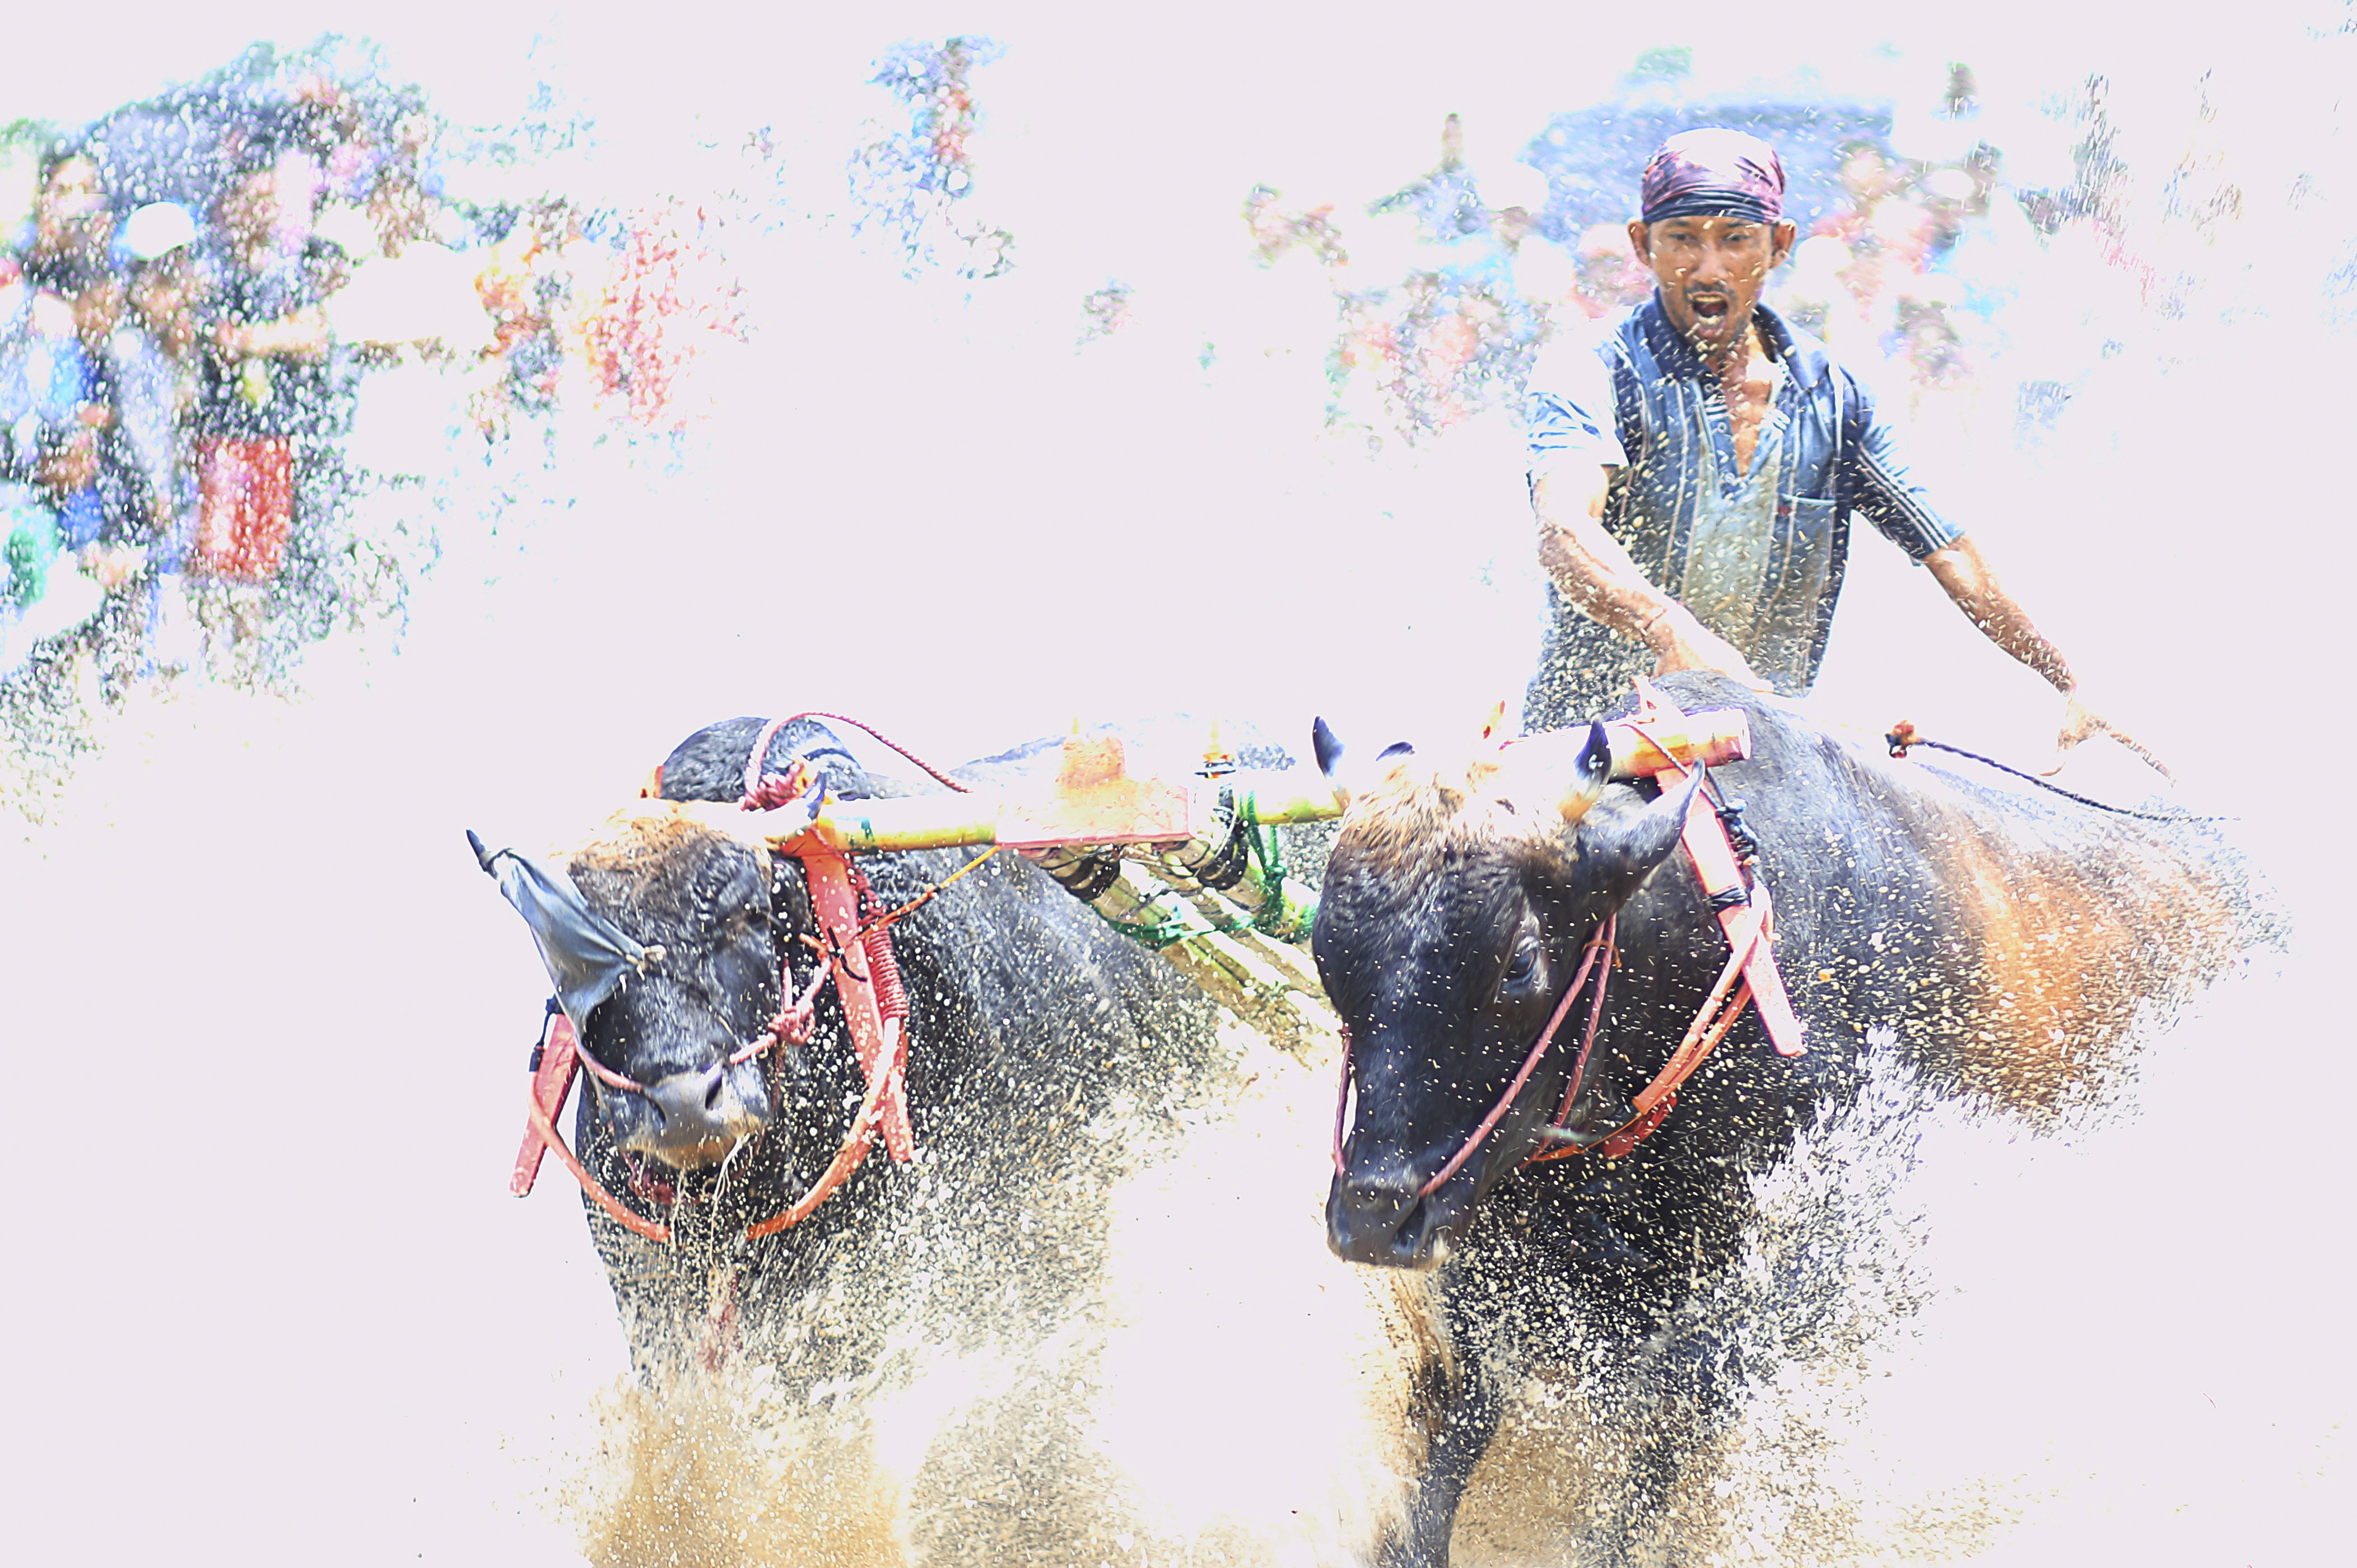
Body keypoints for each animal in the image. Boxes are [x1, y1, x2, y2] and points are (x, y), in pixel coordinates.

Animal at [1310, 665, 2262, 1556]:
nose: (1374, 1216)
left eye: (1518, 961)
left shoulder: (1825, 1262)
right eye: (1328, 950)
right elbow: (1466, 1405)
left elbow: (1672, 1411)